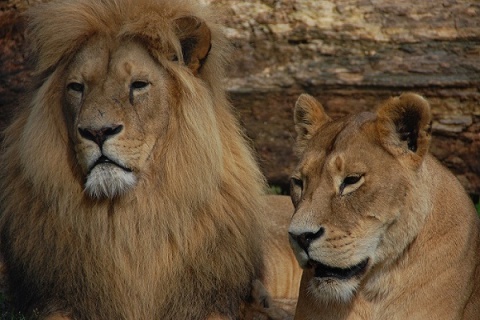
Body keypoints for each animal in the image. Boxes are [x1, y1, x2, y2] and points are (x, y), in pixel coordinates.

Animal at [0, 0, 300, 318]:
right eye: (77, 87)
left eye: (139, 85)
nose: (97, 131)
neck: (129, 219)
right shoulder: (51, 299)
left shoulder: (212, 300)